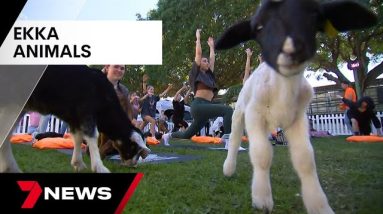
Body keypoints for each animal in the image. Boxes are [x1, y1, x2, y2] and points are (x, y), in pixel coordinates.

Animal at [0, 65, 151, 172]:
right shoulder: (86, 112)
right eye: (133, 147)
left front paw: (78, 163)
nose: (132, 164)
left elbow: (77, 137)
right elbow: (92, 135)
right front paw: (99, 167)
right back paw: (11, 167)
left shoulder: (74, 117)